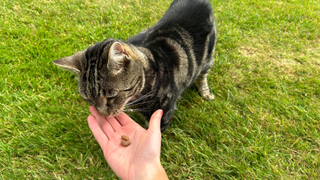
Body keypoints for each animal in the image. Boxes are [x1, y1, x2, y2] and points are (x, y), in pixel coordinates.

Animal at [53, 0, 218, 132]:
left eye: (111, 96)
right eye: (88, 99)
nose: (103, 115)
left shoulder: (163, 114)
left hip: (208, 57)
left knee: (203, 75)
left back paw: (205, 93)